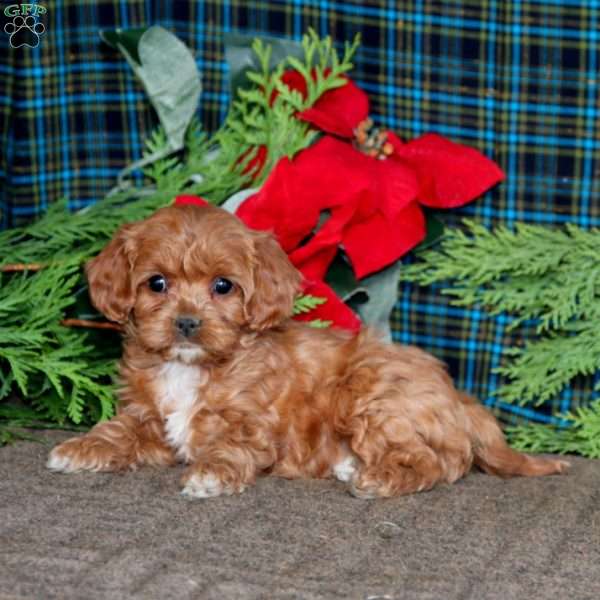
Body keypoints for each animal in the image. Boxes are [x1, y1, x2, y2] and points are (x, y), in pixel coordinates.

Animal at [48, 204, 568, 500]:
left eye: (223, 286)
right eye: (157, 284)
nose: (188, 323)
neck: (190, 366)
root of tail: (457, 397)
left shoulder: (252, 423)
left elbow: (231, 446)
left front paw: (210, 474)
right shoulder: (149, 417)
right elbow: (120, 430)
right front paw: (82, 448)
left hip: (370, 393)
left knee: (439, 463)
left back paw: (378, 478)